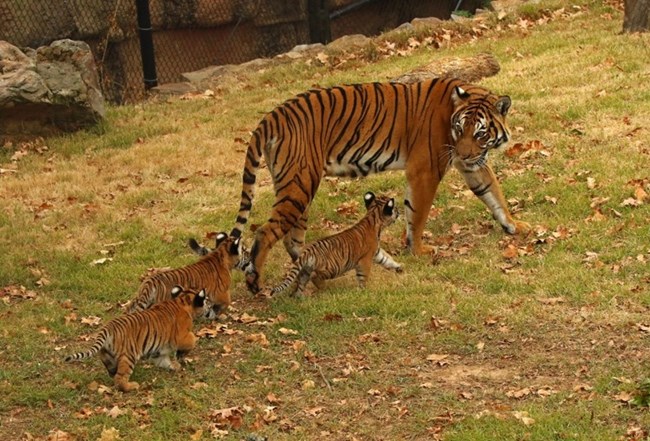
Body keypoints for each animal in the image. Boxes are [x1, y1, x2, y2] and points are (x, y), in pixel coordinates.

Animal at [65, 286, 207, 392]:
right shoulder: (182, 336)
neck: (181, 301)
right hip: (129, 355)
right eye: (205, 301)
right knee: (120, 378)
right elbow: (192, 340)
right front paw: (181, 357)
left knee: (112, 370)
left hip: (106, 354)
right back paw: (131, 386)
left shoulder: (158, 350)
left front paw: (174, 366)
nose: (208, 307)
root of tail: (108, 328)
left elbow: (164, 360)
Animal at [263, 192, 401, 297]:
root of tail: (309, 250)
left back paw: (298, 297)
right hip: (333, 269)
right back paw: (324, 289)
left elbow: (387, 260)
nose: (399, 212)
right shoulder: (365, 259)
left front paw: (399, 267)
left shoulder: (376, 253)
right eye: (395, 208)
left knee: (301, 282)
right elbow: (364, 276)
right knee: (315, 276)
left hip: (305, 270)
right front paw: (363, 291)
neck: (374, 217)